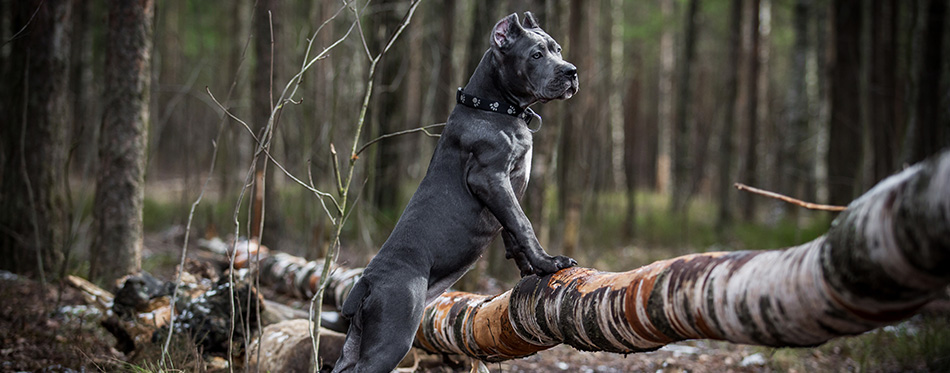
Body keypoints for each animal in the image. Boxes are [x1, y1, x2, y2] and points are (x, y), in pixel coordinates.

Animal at [334, 12, 580, 372]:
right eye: (536, 55)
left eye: (558, 49)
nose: (571, 71)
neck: (494, 107)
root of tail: (366, 283)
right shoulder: (490, 177)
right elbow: (522, 223)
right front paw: (549, 263)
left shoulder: (507, 189)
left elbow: (511, 231)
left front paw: (530, 269)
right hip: (390, 337)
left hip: (356, 342)